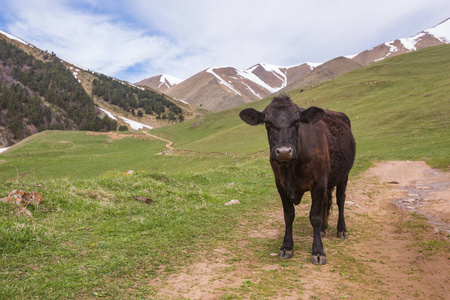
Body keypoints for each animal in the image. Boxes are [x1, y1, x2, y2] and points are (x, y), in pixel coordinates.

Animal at [239, 94, 356, 264]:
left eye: (296, 122)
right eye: (267, 123)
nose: (283, 152)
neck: (292, 169)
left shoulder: (318, 183)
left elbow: (314, 216)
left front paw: (318, 251)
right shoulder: (280, 184)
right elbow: (289, 215)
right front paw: (286, 247)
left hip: (344, 175)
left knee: (340, 200)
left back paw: (341, 230)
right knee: (325, 202)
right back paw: (322, 229)